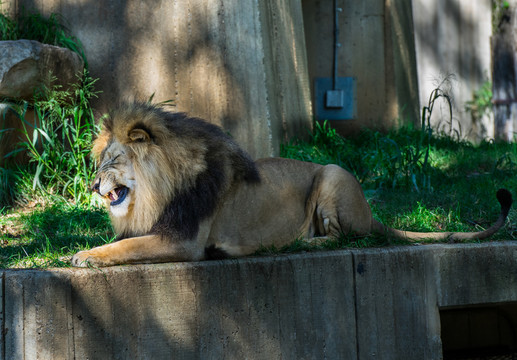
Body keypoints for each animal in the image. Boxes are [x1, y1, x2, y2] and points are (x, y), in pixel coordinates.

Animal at [70, 102, 512, 266]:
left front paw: (84, 255)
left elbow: (126, 246)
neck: (155, 192)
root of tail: (371, 214)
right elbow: (122, 241)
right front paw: (87, 250)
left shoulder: (184, 239)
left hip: (333, 173)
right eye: (99, 162)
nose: (92, 185)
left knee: (343, 237)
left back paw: (301, 243)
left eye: (113, 160)